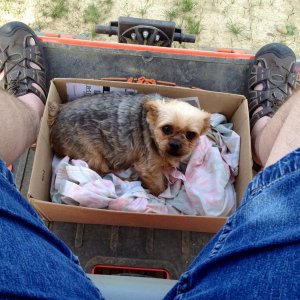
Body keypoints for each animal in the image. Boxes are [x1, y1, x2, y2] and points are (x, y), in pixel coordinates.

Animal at [47, 94, 211, 197]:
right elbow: (158, 185)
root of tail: (59, 111)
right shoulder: (148, 168)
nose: (176, 144)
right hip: (90, 154)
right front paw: (161, 195)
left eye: (191, 134)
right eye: (166, 129)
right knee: (101, 171)